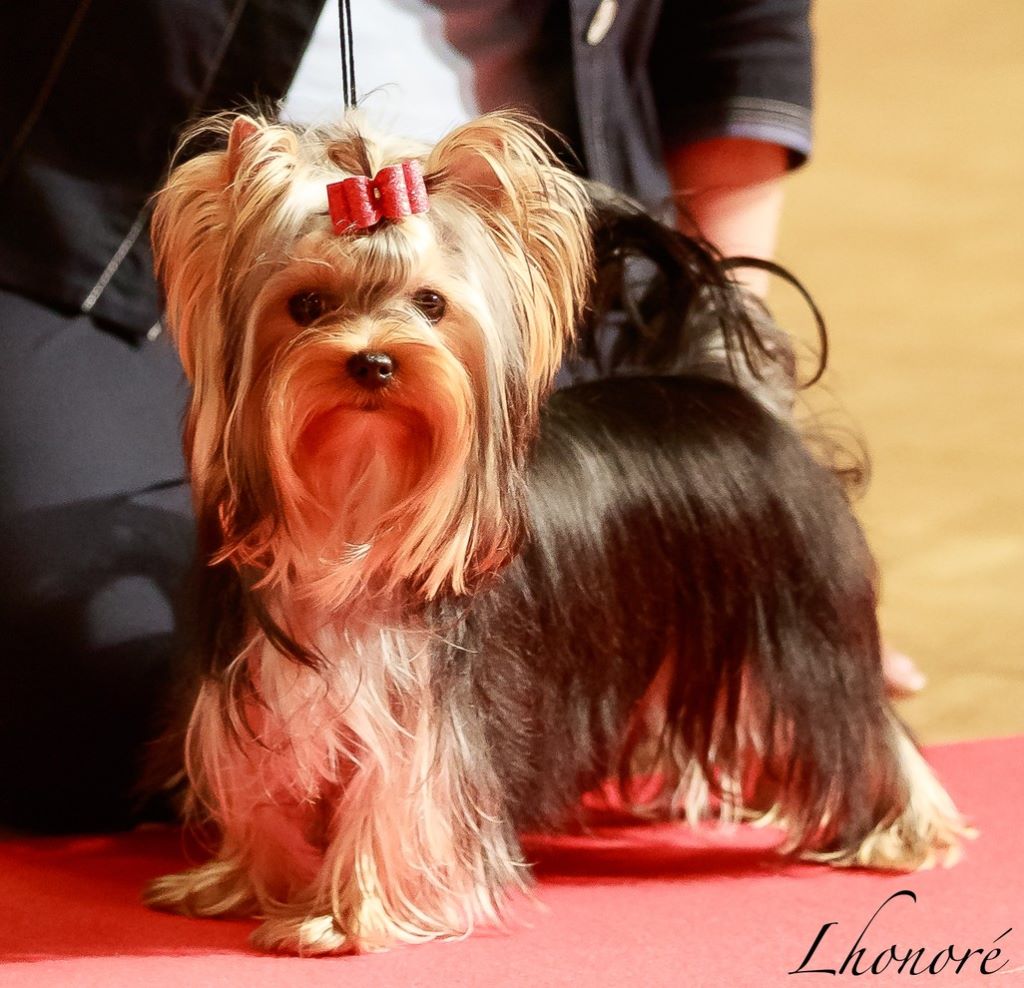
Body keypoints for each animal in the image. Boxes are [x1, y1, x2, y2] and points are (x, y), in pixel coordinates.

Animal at [146, 111, 966, 954]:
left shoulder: (431, 716)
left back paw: (897, 831)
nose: (373, 361)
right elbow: (258, 788)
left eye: (431, 304)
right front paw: (244, 884)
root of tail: (724, 384)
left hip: (799, 618)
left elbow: (402, 800)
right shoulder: (258, 686)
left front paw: (348, 916)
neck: (357, 497)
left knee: (857, 719)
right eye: (306, 304)